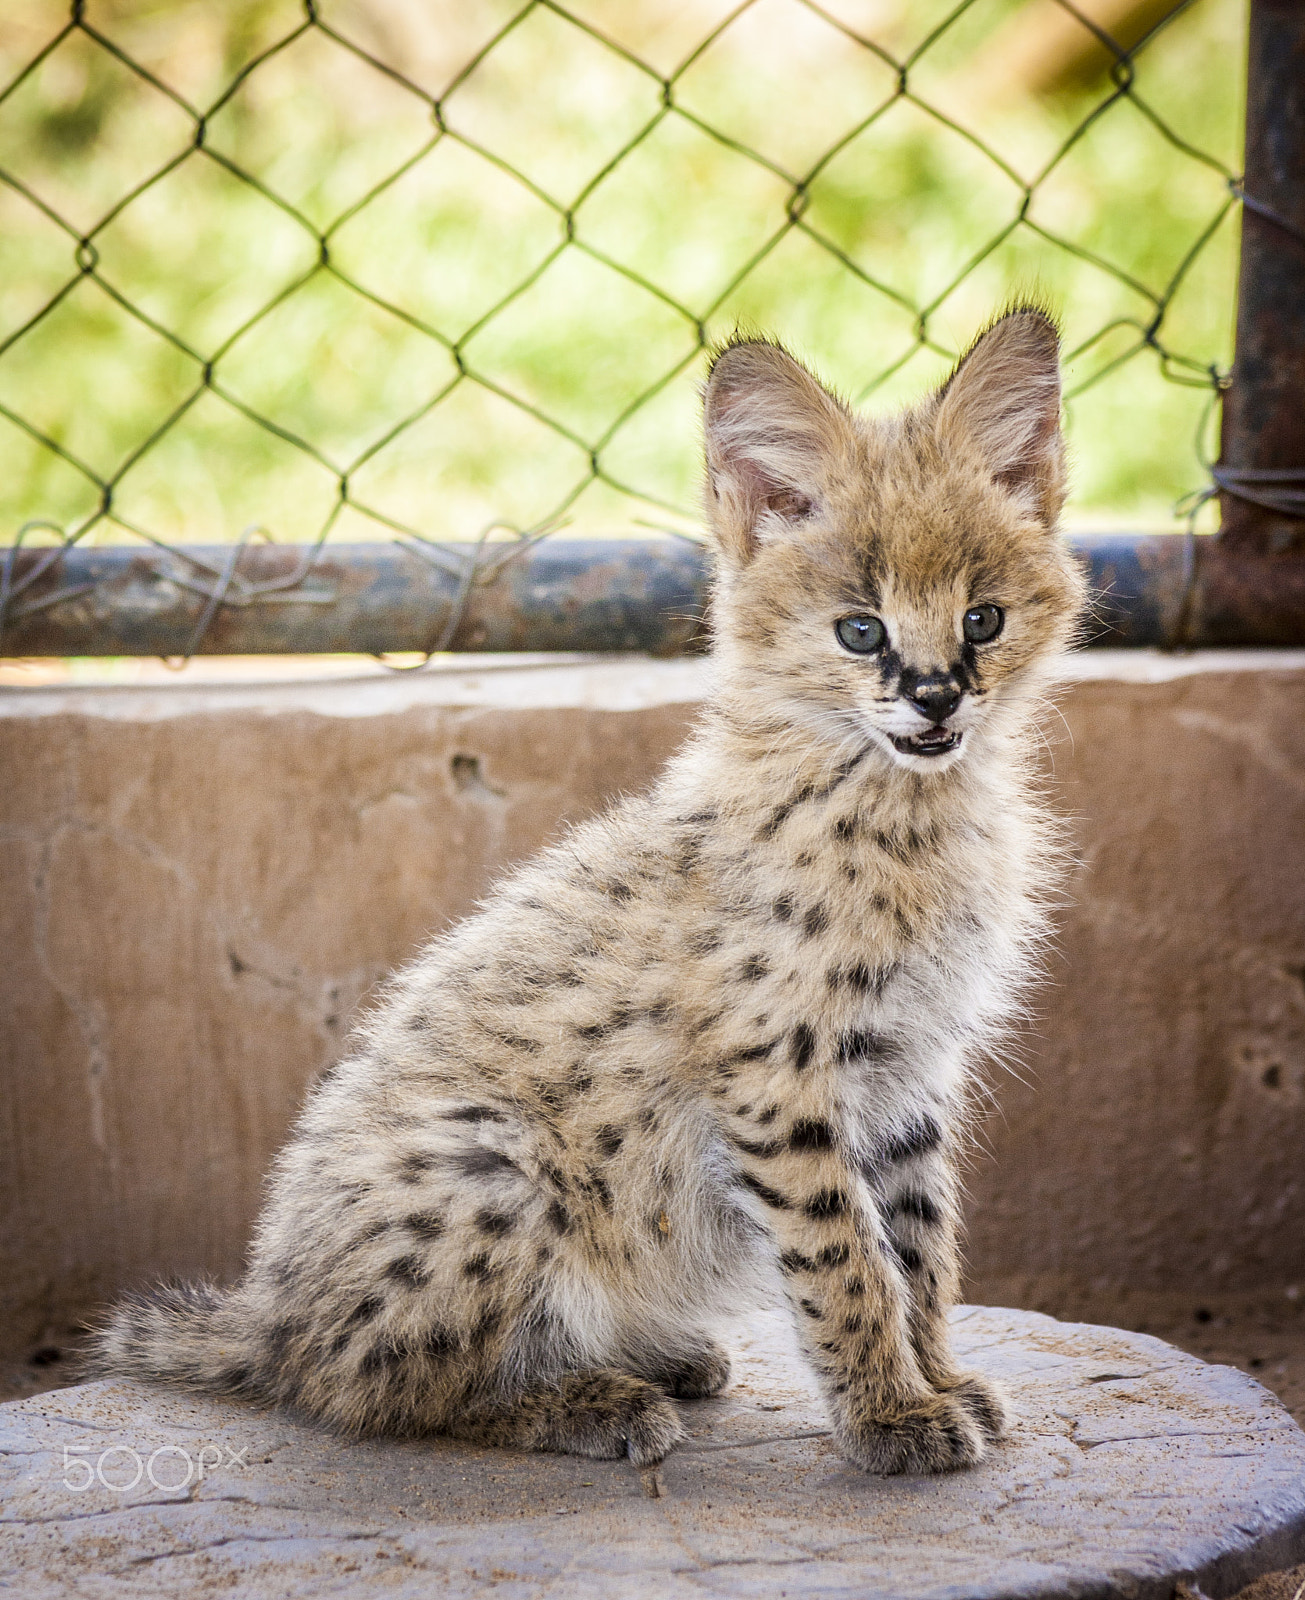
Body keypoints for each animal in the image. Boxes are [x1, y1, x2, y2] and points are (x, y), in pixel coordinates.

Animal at [91, 308, 1087, 1472]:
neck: (911, 805)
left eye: (983, 621)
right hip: (491, 1161)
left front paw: (938, 1380)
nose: (934, 700)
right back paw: (591, 1401)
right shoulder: (781, 1071)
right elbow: (846, 1258)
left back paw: (650, 1357)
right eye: (860, 631)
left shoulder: (910, 1069)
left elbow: (921, 1244)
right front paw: (893, 1414)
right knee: (367, 1389)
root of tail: (269, 1310)